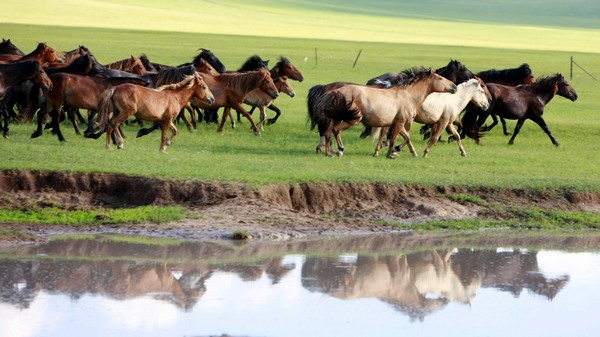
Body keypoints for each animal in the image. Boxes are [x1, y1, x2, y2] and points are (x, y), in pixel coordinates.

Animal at [314, 68, 454, 159]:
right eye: (440, 78)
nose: (454, 86)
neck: (408, 95)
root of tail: (336, 91)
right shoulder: (400, 122)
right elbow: (393, 139)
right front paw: (391, 153)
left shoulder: (397, 123)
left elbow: (406, 137)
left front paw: (403, 151)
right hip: (353, 119)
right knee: (336, 130)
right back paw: (340, 150)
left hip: (336, 118)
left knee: (328, 133)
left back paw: (328, 153)